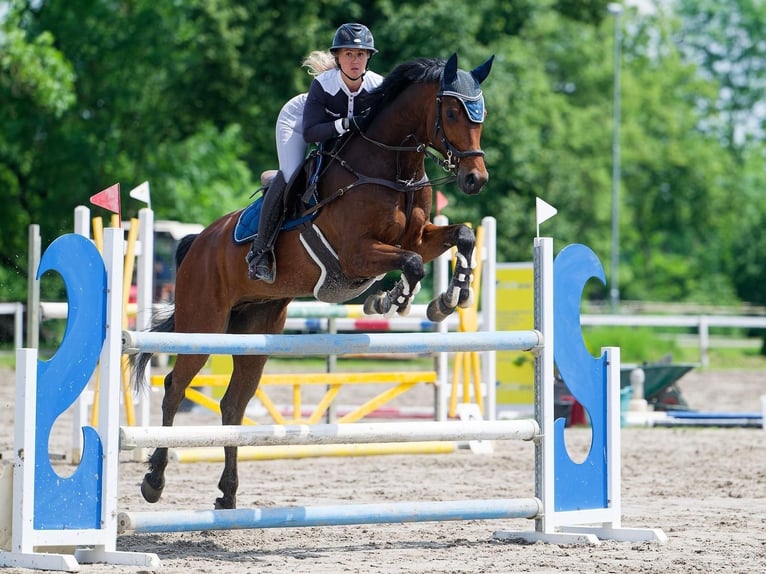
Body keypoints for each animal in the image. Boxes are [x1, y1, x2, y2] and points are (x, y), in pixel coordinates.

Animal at [133, 53, 494, 510]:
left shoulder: (418, 237)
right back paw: (154, 481)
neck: (392, 169)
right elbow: (412, 265)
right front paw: (390, 300)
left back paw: (228, 494)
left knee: (233, 405)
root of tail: (198, 242)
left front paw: (451, 297)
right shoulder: (357, 253)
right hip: (203, 326)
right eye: (450, 112)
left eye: (481, 114)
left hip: (257, 329)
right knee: (175, 388)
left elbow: (460, 236)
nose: (475, 179)